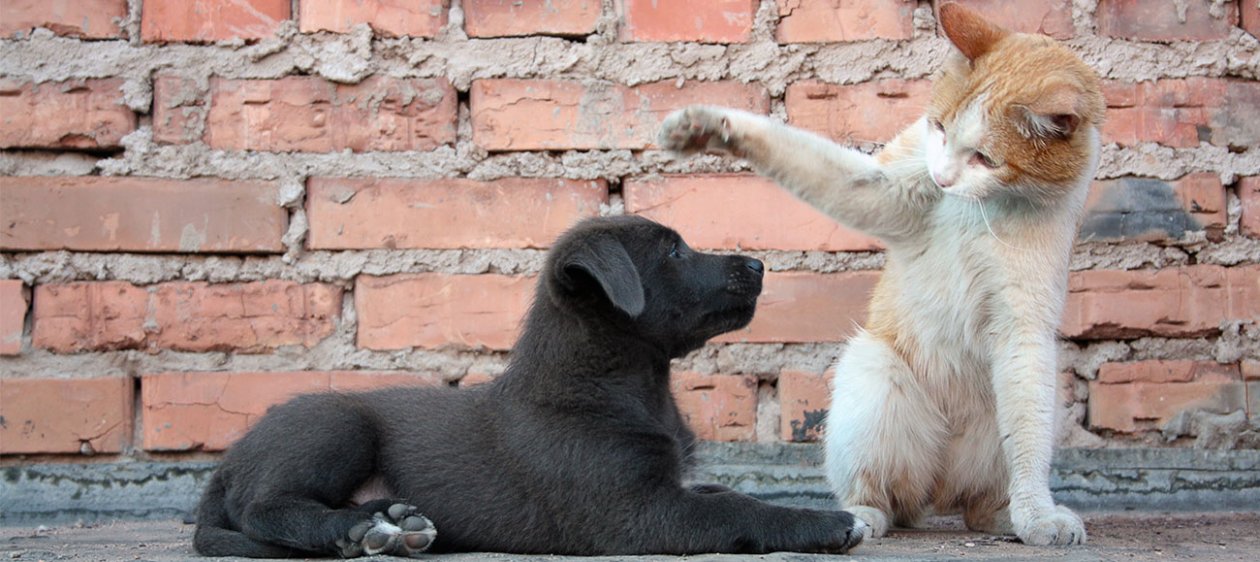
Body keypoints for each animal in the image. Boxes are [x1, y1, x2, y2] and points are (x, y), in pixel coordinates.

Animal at [194, 216, 866, 556]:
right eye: (673, 251)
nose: (758, 264)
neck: (620, 385)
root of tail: (226, 466)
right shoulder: (636, 516)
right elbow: (735, 506)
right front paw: (824, 523)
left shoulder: (668, 485)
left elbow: (721, 489)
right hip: (333, 423)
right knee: (263, 509)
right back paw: (359, 529)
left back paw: (394, 522)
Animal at [660, 2, 1103, 546]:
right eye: (939, 128)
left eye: (985, 158)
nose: (942, 178)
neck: (982, 207)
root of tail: (939, 490)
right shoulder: (885, 190)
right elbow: (802, 154)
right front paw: (708, 127)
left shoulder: (1025, 330)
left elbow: (1029, 445)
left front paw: (1038, 516)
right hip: (872, 372)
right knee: (884, 498)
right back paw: (858, 520)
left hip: (1043, 386)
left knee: (981, 498)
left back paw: (1004, 518)